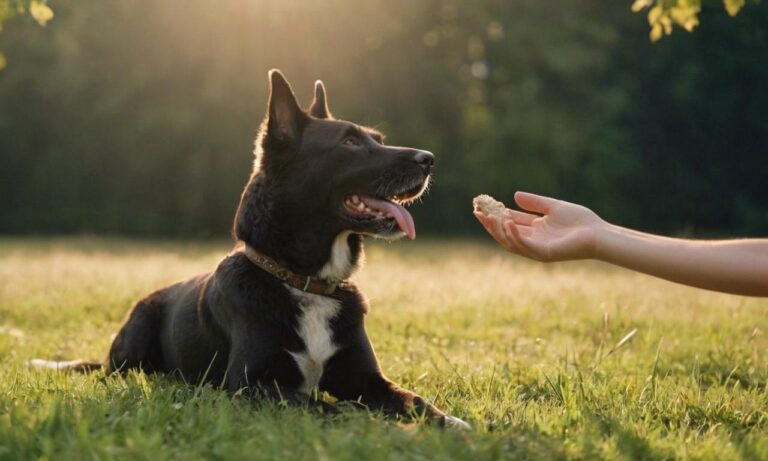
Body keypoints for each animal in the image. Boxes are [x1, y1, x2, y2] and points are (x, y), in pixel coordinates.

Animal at [34, 70, 468, 430]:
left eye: (377, 140)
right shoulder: (255, 385)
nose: (429, 160)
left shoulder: (366, 379)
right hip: (137, 336)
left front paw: (451, 423)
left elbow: (414, 400)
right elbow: (334, 408)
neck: (302, 282)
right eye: (348, 142)